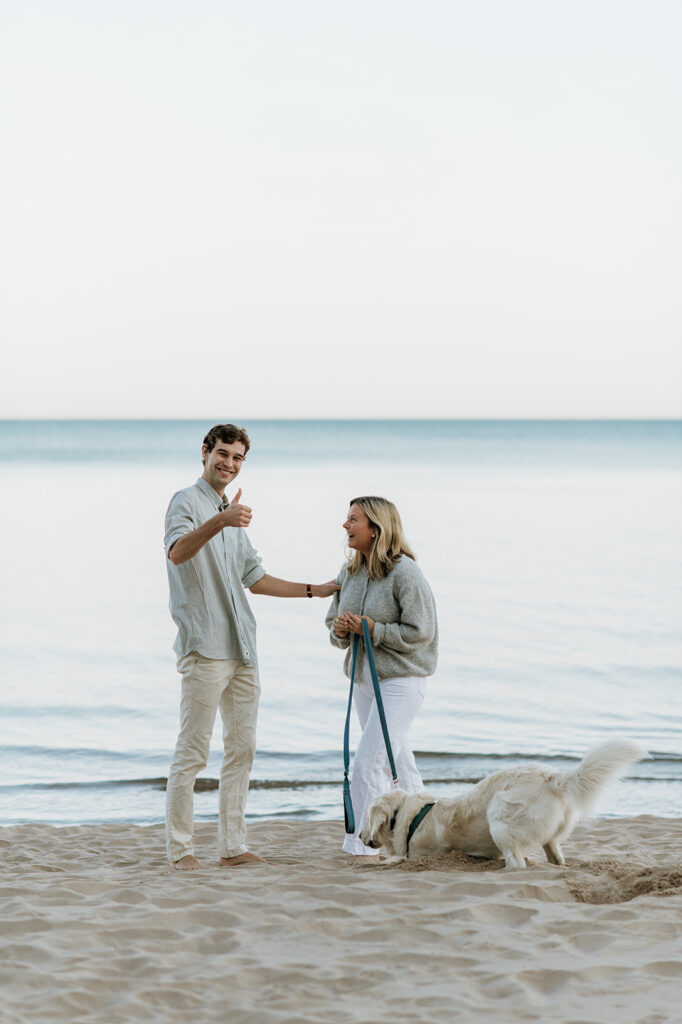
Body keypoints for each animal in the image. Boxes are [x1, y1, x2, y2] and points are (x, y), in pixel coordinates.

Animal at [356, 741, 643, 868]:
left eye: (366, 818)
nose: (358, 836)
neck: (408, 815)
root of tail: (554, 778)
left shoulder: (417, 855)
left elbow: (396, 859)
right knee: (554, 855)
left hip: (499, 814)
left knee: (517, 862)